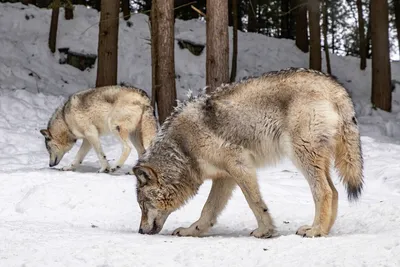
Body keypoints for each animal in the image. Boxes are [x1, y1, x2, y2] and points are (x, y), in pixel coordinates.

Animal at [133, 67, 364, 239]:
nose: (140, 230)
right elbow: (208, 210)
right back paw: (324, 230)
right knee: (334, 191)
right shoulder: (224, 177)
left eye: (143, 205)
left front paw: (265, 231)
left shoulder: (240, 166)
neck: (183, 147)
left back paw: (315, 230)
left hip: (301, 155)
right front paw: (192, 231)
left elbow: (255, 203)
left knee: (324, 192)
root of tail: (335, 86)